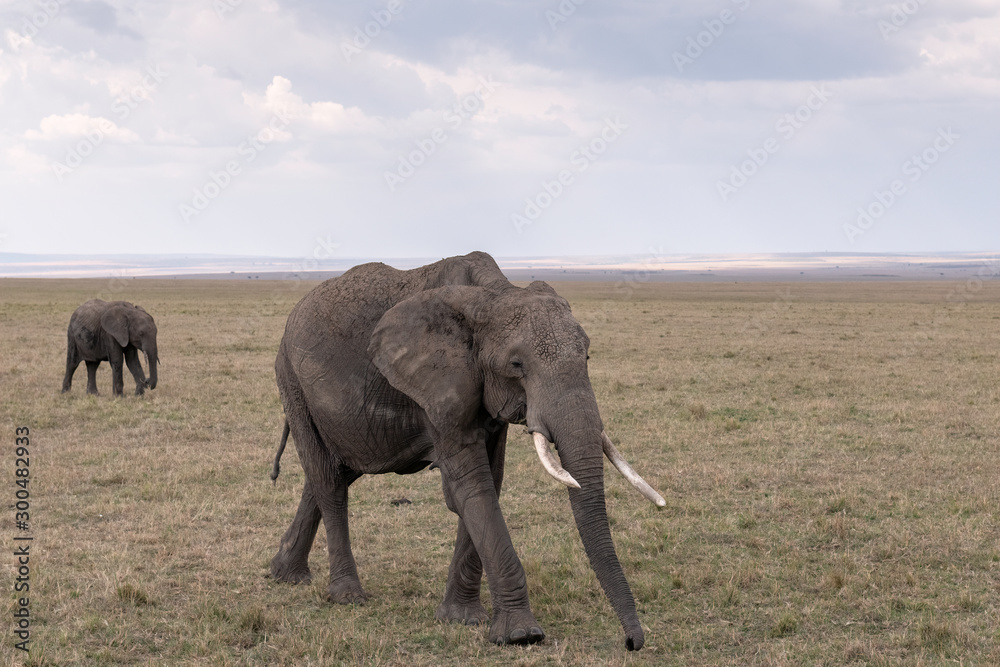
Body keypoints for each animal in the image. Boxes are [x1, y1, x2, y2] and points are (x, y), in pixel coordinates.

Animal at [268, 251, 664, 650]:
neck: (495, 294)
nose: (632, 642)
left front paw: (461, 619)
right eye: (516, 365)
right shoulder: (440, 386)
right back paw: (346, 596)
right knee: (328, 480)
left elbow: (490, 480)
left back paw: (283, 574)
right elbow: (472, 485)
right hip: (292, 380)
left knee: (332, 473)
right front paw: (521, 635)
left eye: (587, 357)